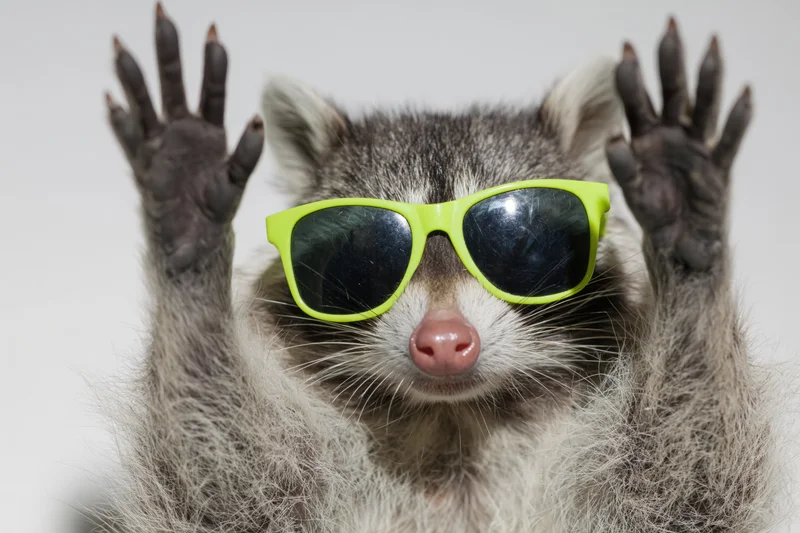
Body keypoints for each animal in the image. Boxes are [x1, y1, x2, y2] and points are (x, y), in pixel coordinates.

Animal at [99, 4, 779, 532]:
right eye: (366, 256)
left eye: (521, 242)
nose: (445, 340)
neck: (454, 421)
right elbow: (226, 489)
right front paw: (191, 254)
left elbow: (682, 483)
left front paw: (687, 253)